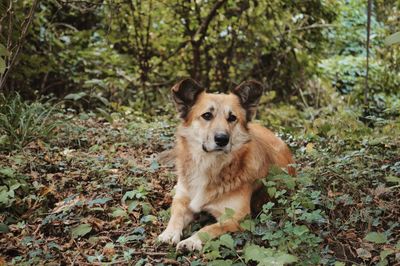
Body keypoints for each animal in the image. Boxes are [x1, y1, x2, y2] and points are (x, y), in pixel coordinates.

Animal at [159, 78, 294, 250]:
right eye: (207, 115)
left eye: (232, 118)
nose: (222, 139)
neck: (210, 165)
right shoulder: (183, 199)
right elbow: (176, 214)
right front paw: (169, 233)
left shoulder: (239, 218)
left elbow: (210, 228)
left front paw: (191, 241)